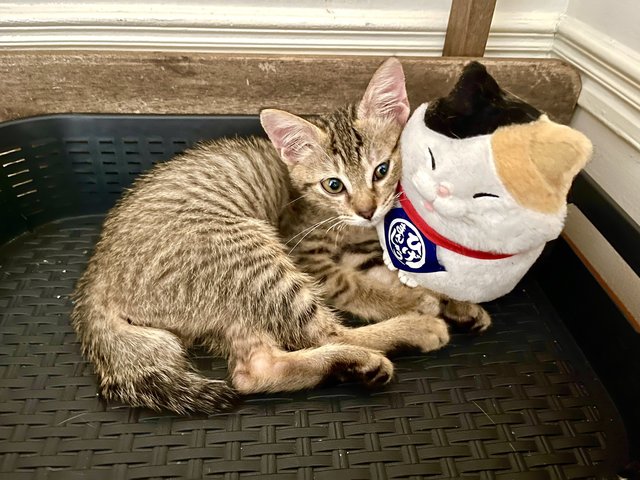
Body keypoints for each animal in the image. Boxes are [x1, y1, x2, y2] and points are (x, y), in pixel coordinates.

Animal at [72, 58, 484, 414]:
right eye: (334, 185)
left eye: (381, 170)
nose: (367, 211)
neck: (346, 227)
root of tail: (94, 281)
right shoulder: (313, 261)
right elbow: (363, 289)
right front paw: (419, 302)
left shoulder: (361, 251)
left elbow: (404, 276)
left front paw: (456, 303)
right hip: (254, 256)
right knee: (328, 333)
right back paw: (410, 332)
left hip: (230, 305)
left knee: (251, 372)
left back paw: (357, 365)